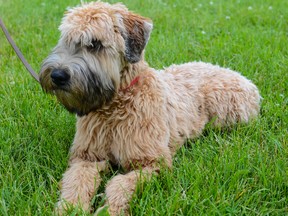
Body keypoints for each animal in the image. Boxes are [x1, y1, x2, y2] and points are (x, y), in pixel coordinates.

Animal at [38, 1, 260, 214]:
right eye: (66, 40)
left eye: (95, 44)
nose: (57, 75)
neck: (114, 108)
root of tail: (246, 81)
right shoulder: (87, 156)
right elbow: (76, 181)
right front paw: (70, 208)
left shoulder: (152, 163)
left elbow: (119, 184)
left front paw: (110, 209)